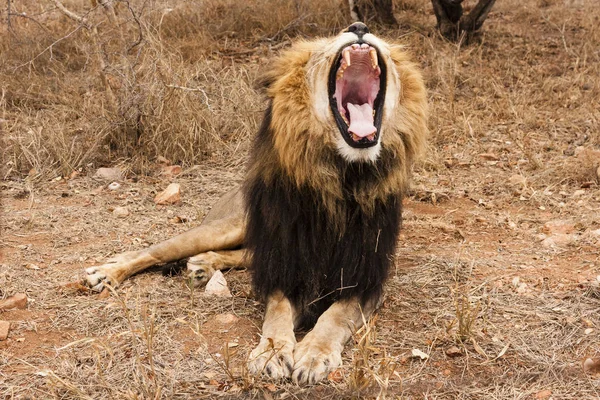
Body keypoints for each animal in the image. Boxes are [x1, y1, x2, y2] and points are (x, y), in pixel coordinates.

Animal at [83, 21, 426, 384]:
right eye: (323, 48)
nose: (359, 26)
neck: (342, 180)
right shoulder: (284, 264)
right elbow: (278, 311)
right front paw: (273, 352)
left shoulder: (367, 279)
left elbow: (335, 316)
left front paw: (314, 353)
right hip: (227, 228)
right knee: (155, 251)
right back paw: (106, 273)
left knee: (241, 255)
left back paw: (203, 264)